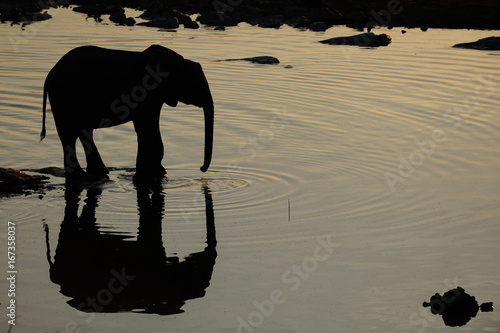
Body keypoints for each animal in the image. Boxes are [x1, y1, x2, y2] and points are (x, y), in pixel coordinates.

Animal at [40, 44, 214, 182]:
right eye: (198, 86)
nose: (201, 169)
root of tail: (50, 74)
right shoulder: (144, 90)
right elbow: (145, 128)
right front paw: (145, 179)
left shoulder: (156, 97)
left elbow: (152, 127)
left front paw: (159, 173)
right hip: (62, 98)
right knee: (68, 135)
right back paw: (80, 177)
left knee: (83, 131)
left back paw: (98, 172)